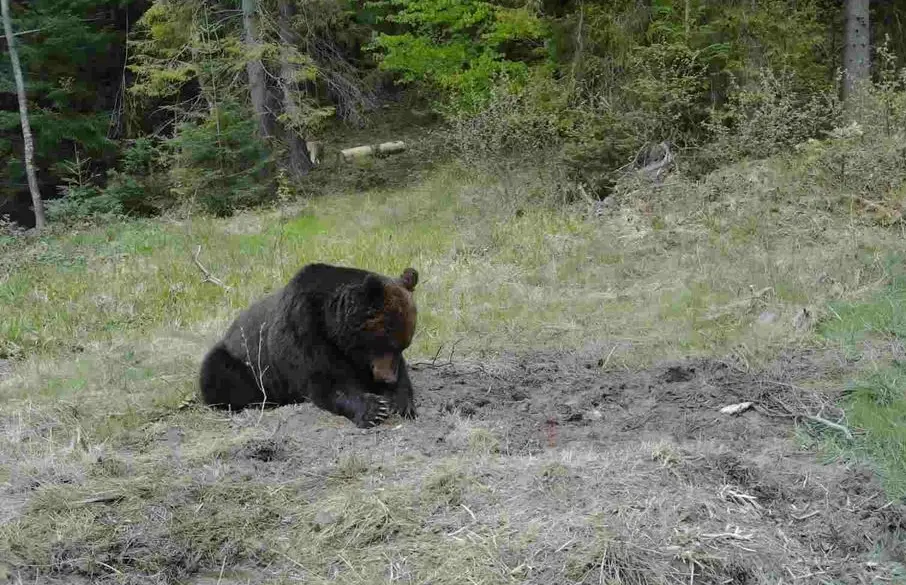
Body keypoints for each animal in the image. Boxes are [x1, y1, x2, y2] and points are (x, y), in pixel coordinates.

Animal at [200, 262, 418, 426]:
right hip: (240, 361)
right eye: (385, 344)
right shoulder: (304, 331)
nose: (388, 378)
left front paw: (400, 402)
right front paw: (373, 408)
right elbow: (326, 381)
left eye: (403, 346)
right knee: (216, 374)